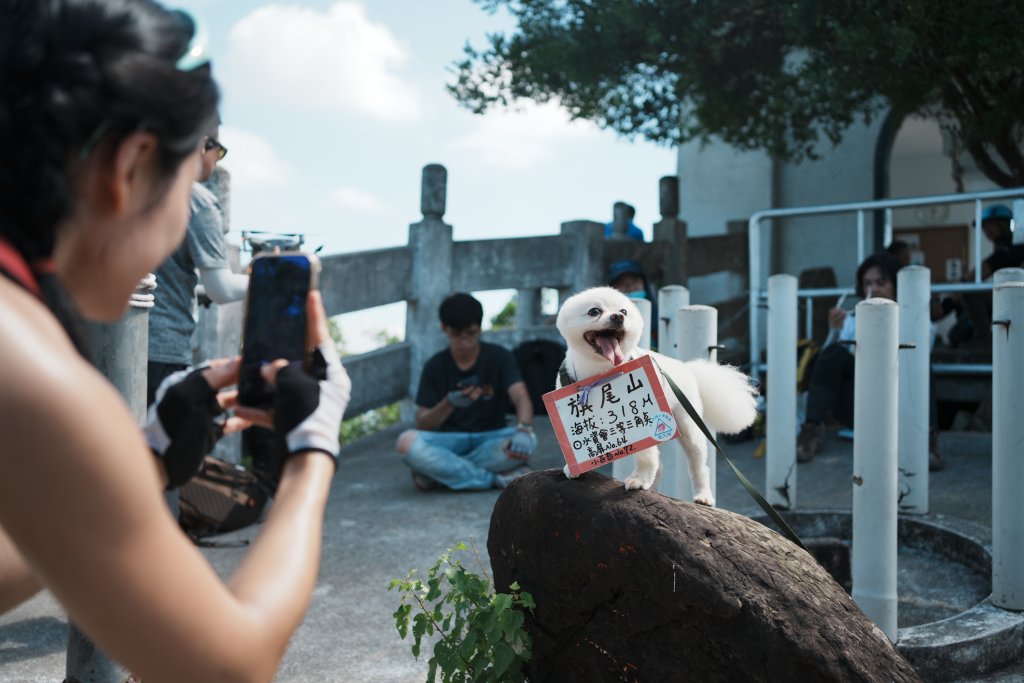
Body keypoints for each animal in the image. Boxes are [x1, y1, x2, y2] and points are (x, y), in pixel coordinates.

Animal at [552, 286, 761, 505]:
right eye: (594, 311)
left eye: (624, 311)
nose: (618, 316)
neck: (600, 375)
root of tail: (687, 368)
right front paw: (576, 466)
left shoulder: (643, 418)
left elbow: (646, 456)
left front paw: (639, 479)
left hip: (688, 425)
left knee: (698, 465)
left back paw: (703, 495)